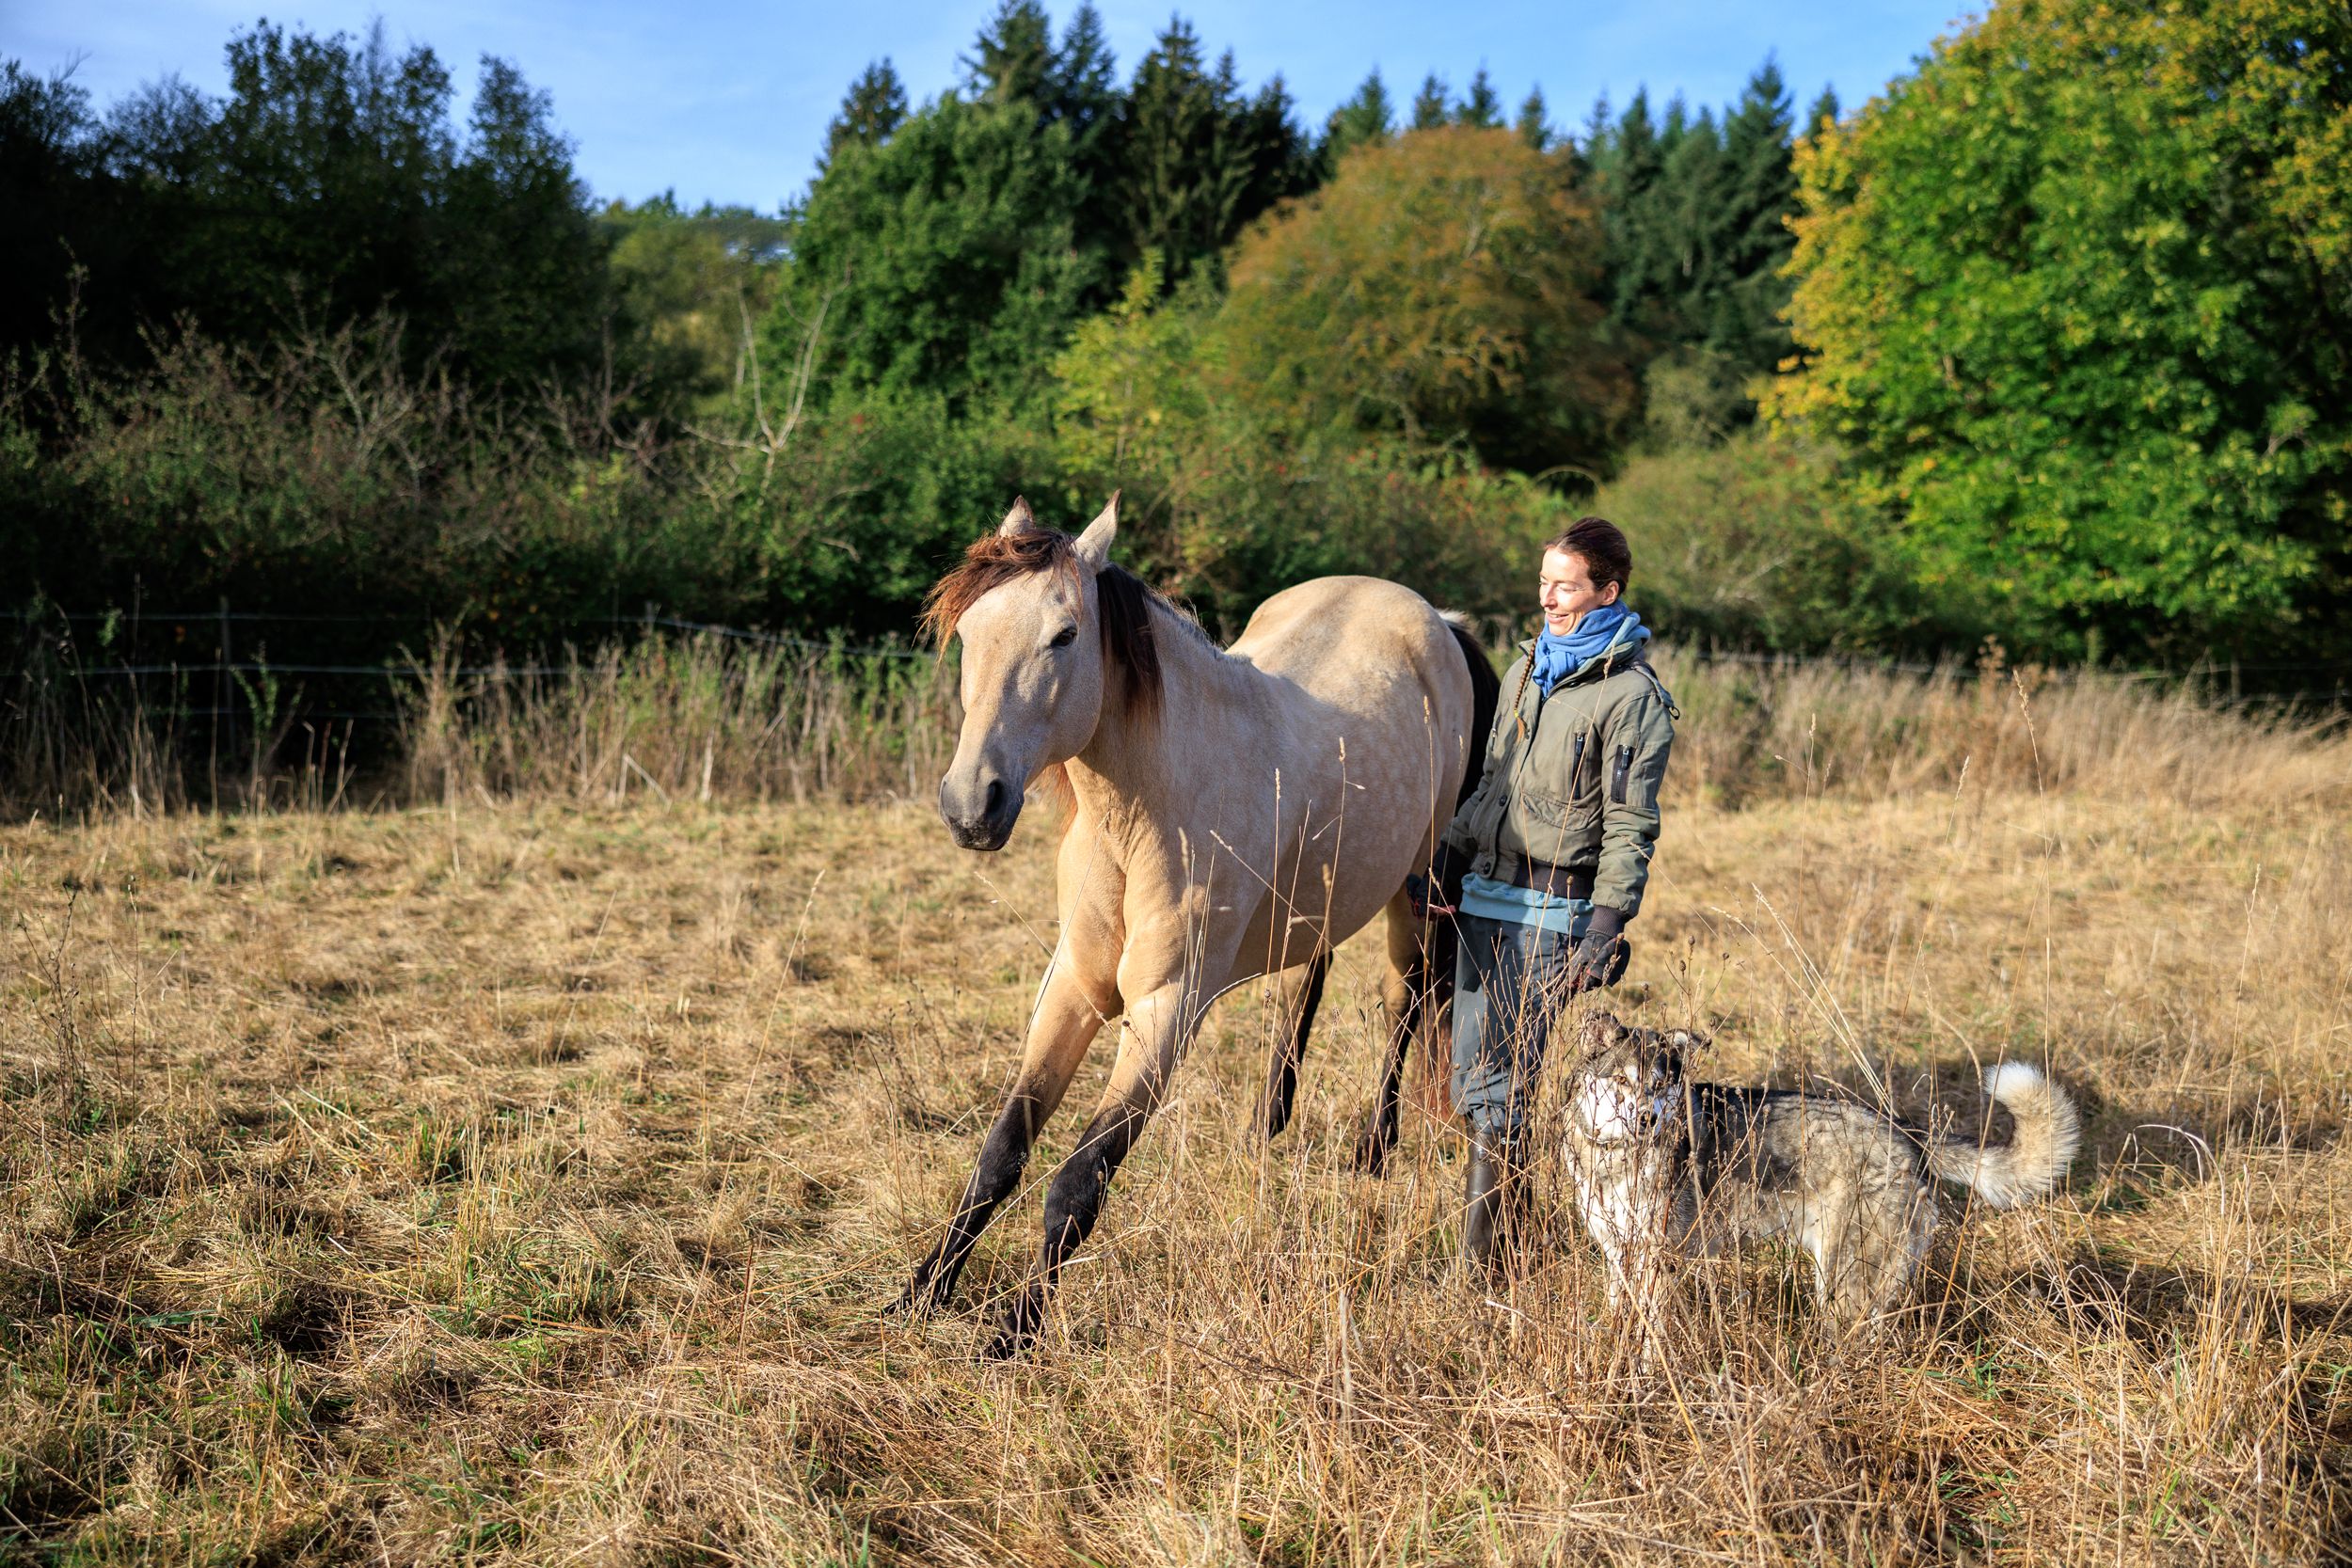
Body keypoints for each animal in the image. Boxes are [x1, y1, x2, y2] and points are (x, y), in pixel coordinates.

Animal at [892, 493, 1498, 1356]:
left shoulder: (1166, 1008)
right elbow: (1001, 1152)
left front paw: (1016, 1329)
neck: (1144, 815)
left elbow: (1078, 1181)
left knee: (1404, 999)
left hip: (1418, 890)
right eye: (970, 632)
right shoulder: (1072, 986)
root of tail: (1435, 620)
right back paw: (1267, 1120)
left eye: (1065, 634)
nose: (973, 803)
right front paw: (922, 1292)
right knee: (1309, 978)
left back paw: (1372, 1148)